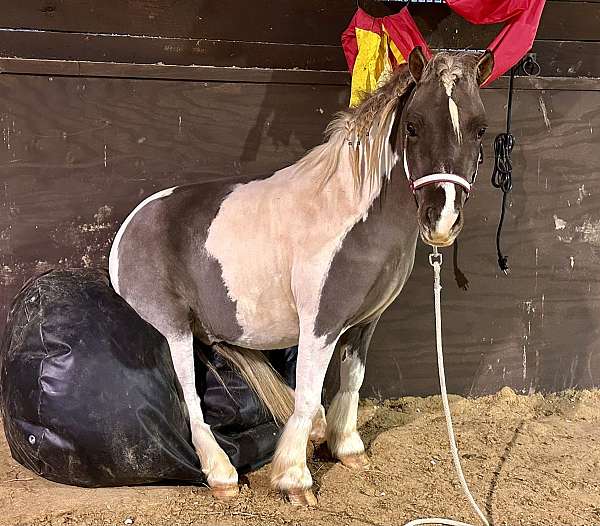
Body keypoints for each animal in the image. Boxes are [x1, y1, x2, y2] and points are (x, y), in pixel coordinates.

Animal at [108, 49, 492, 508]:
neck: (349, 212)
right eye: (413, 125)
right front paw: (295, 480)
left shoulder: (365, 323)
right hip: (175, 329)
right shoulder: (320, 325)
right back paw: (222, 475)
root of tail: (131, 225)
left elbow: (351, 380)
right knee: (192, 399)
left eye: (480, 128)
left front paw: (347, 449)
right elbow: (308, 396)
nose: (443, 220)